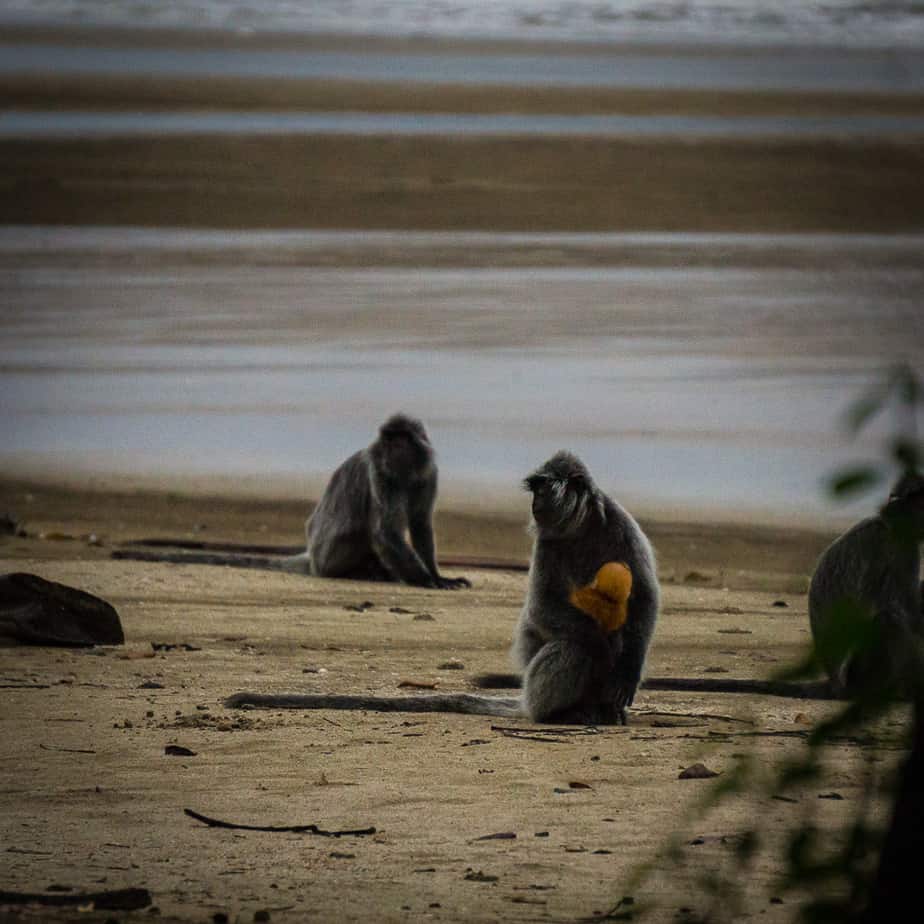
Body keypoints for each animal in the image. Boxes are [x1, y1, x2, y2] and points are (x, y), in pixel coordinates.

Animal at [113, 413, 469, 590]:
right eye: (388, 444)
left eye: (399, 443)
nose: (387, 452)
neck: (403, 472)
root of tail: (313, 557)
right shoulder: (378, 472)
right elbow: (386, 532)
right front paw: (425, 581)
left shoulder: (427, 472)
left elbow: (420, 523)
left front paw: (437, 576)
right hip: (331, 555)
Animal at [226, 451, 660, 725]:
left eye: (542, 490)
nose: (534, 505)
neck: (582, 529)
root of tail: (527, 702)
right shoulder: (548, 540)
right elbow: (544, 607)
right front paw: (605, 651)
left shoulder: (617, 522)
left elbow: (645, 598)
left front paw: (626, 667)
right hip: (535, 685)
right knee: (573, 644)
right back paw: (560, 712)